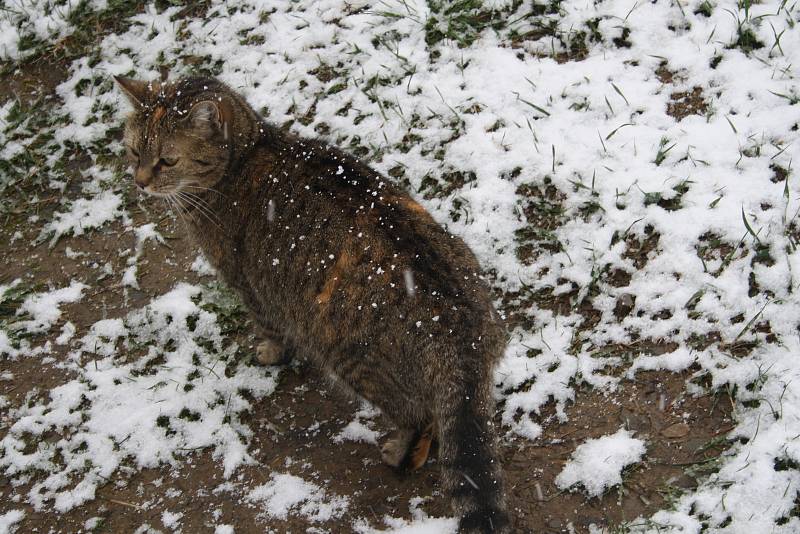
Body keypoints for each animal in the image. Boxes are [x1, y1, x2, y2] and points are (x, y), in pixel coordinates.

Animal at [115, 76, 510, 534]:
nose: (140, 182)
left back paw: (400, 452)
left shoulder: (250, 286)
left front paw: (270, 353)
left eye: (166, 160)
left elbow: (271, 330)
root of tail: (467, 331)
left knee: (419, 418)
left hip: (351, 357)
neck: (247, 154)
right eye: (132, 152)